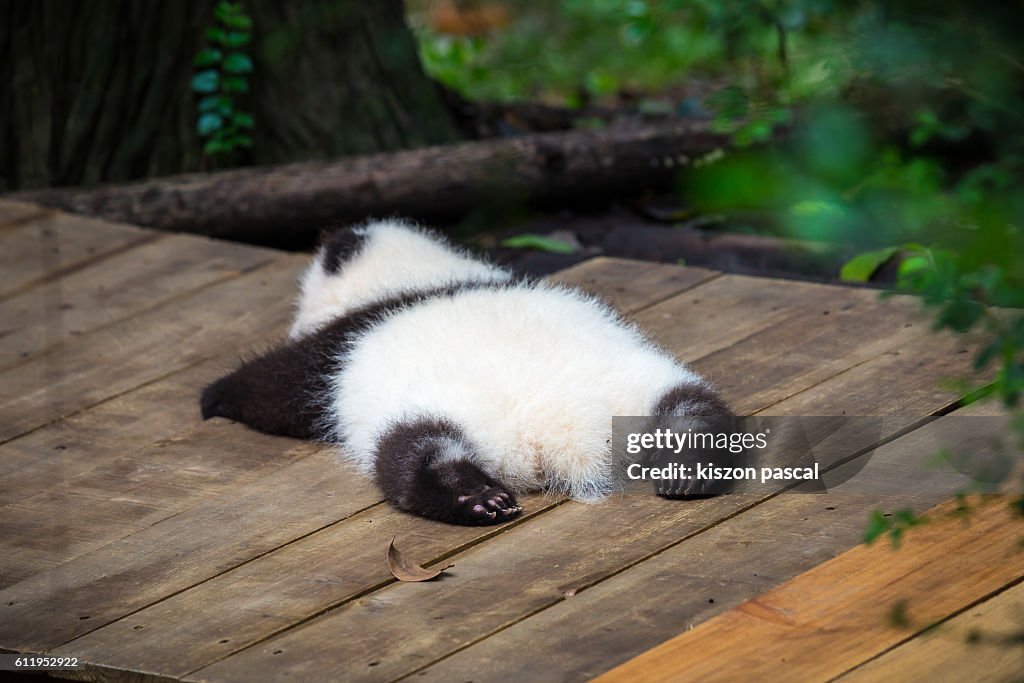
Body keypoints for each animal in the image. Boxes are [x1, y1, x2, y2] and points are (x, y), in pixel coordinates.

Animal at [199, 219, 733, 524]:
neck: (417, 275)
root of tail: (564, 432)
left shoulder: (337, 346)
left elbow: (277, 389)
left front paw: (215, 397)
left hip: (435, 411)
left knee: (411, 454)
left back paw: (474, 498)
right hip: (636, 385)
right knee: (691, 406)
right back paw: (689, 465)